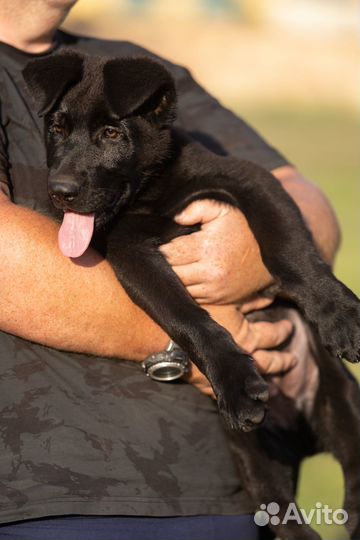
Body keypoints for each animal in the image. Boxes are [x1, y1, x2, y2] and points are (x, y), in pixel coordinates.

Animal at [23, 51, 360, 540]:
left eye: (112, 133)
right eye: (57, 128)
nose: (60, 192)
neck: (150, 192)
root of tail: (300, 433)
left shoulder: (251, 180)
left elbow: (285, 250)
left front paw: (336, 313)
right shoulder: (130, 254)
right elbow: (186, 316)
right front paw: (234, 379)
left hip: (345, 404)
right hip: (250, 451)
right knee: (286, 514)